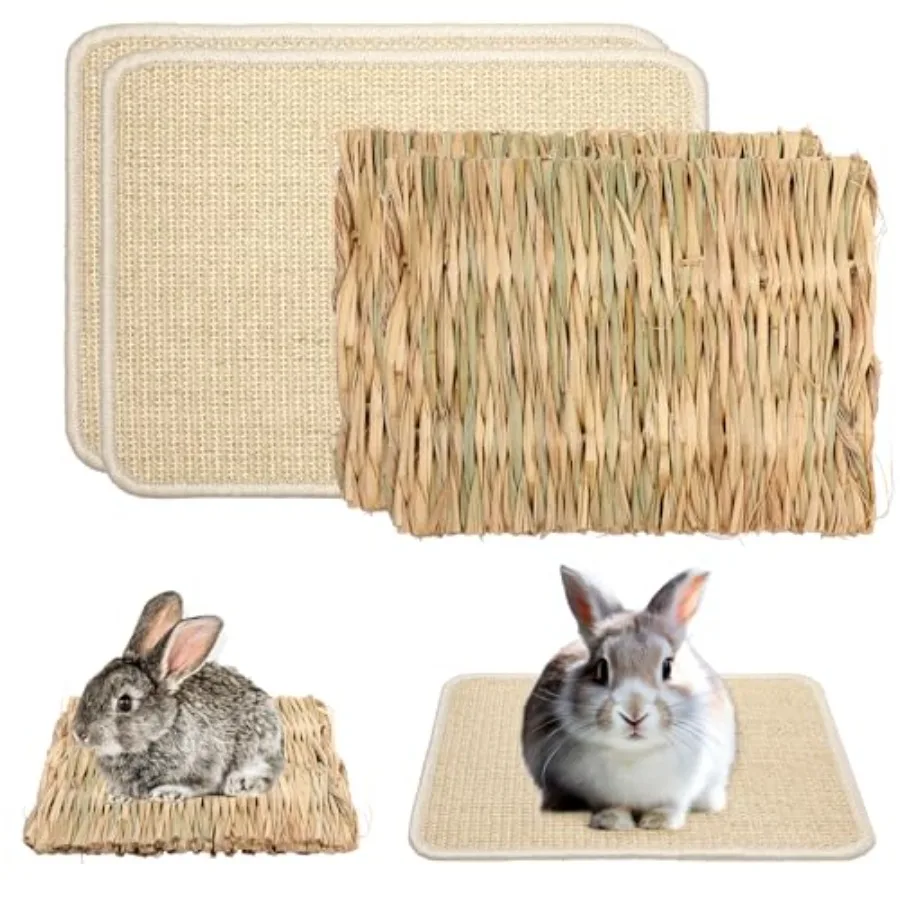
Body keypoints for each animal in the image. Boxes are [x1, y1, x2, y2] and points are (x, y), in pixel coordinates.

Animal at [73, 591, 284, 802]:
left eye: (125, 703)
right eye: (90, 684)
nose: (79, 733)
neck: (161, 731)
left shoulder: (207, 766)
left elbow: (201, 786)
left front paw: (169, 792)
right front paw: (118, 796)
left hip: (257, 749)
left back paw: (240, 784)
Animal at [522, 566, 736, 831]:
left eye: (667, 667)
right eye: (601, 669)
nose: (634, 714)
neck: (635, 752)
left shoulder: (682, 790)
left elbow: (670, 805)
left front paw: (657, 822)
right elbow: (612, 805)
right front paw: (613, 822)